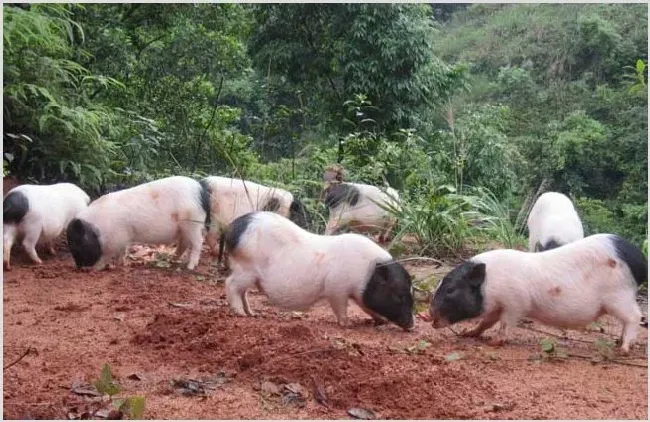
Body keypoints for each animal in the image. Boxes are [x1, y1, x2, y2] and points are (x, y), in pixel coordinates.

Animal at [65, 175, 209, 270]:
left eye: (76, 243)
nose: (78, 267)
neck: (99, 229)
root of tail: (200, 190)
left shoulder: (114, 241)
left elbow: (106, 256)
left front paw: (96, 269)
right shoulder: (122, 239)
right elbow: (122, 252)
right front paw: (120, 265)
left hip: (192, 223)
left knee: (198, 243)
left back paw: (190, 267)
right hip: (184, 228)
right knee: (184, 243)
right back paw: (173, 259)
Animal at [223, 211, 412, 330]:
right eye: (399, 296)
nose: (412, 325)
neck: (367, 271)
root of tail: (232, 228)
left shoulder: (359, 293)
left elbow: (367, 307)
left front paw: (381, 321)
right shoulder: (336, 287)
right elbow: (340, 307)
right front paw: (347, 325)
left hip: (247, 273)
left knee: (242, 292)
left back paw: (252, 313)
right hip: (246, 269)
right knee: (230, 284)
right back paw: (240, 314)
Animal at [428, 234, 644, 352]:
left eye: (450, 290)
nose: (426, 313)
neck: (490, 283)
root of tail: (639, 259)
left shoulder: (515, 303)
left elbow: (505, 323)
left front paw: (495, 343)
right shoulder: (496, 306)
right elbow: (486, 322)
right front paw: (468, 333)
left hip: (619, 297)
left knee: (635, 316)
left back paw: (624, 349)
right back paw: (619, 343)